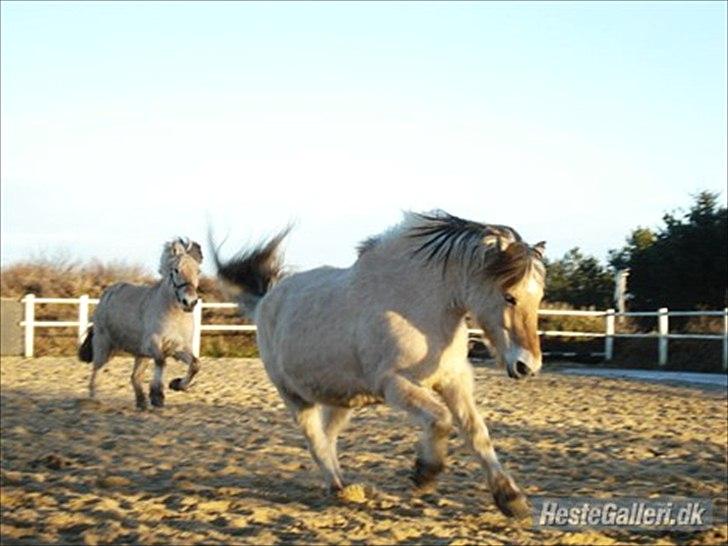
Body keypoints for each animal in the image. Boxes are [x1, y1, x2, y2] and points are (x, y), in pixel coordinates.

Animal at [213, 210, 544, 516]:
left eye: (539, 297)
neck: (417, 307)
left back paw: (344, 486)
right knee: (315, 441)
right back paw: (338, 488)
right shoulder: (394, 385)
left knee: (327, 437)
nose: (527, 366)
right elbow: (441, 419)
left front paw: (511, 499)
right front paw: (424, 473)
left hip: (341, 399)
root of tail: (265, 300)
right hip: (294, 396)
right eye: (509, 296)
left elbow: (477, 434)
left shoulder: (454, 381)